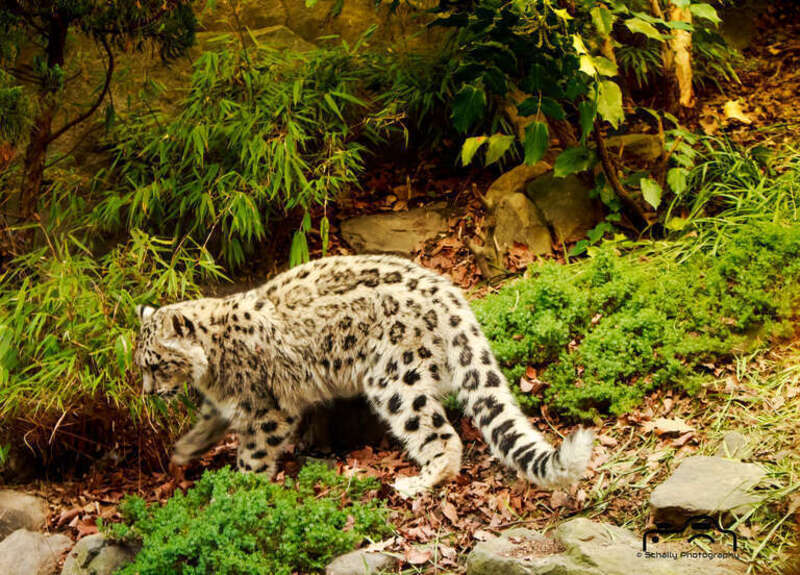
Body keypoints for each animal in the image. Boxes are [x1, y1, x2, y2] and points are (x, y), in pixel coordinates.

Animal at [134, 254, 593, 497]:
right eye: (141, 365)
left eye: (155, 363)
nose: (149, 392)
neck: (211, 371)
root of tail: (448, 295)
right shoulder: (223, 403)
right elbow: (207, 423)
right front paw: (182, 451)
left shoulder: (267, 408)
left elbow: (255, 452)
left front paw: (240, 490)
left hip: (394, 378)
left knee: (439, 434)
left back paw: (418, 482)